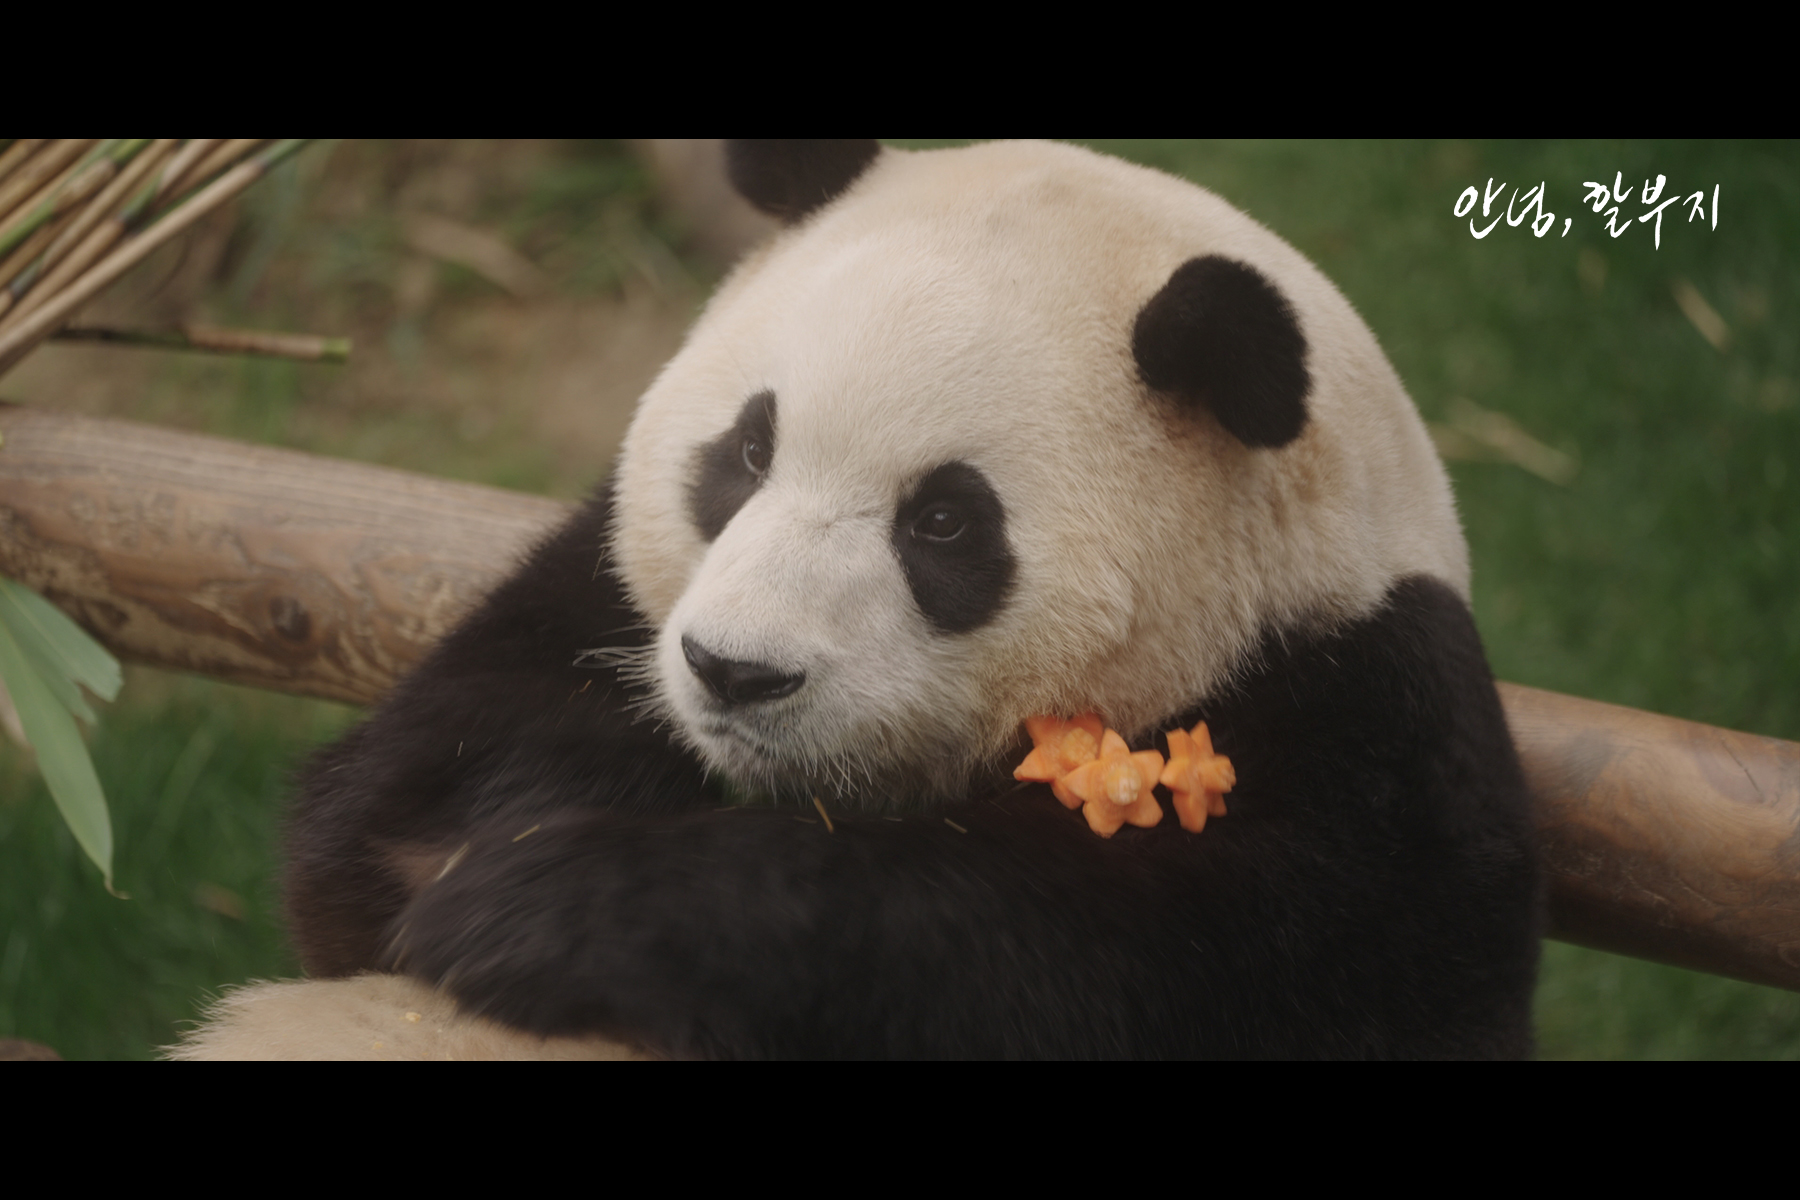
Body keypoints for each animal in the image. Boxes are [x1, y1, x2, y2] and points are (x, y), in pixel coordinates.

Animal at [175, 143, 1540, 1057]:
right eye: (747, 452)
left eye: (942, 521)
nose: (735, 672)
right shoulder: (596, 587)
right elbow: (374, 824)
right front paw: (501, 850)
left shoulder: (1375, 737)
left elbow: (1106, 962)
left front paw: (562, 907)